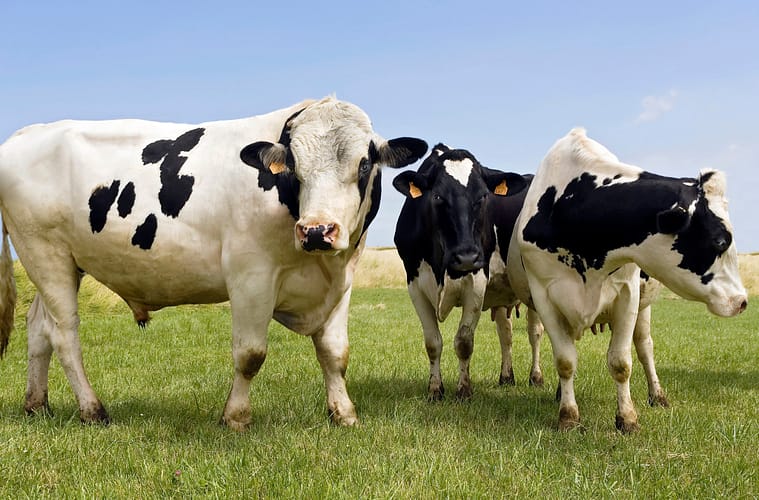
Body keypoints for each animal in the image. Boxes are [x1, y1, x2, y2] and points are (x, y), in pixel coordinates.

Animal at [0, 96, 428, 430]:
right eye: (294, 166)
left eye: (363, 164)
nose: (317, 230)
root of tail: (26, 134)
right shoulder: (250, 275)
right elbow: (250, 353)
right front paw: (236, 417)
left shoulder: (341, 279)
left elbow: (336, 352)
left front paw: (343, 413)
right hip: (45, 253)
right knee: (64, 333)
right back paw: (91, 409)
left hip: (62, 262)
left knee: (39, 327)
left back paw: (37, 404)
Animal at [392, 144, 529, 400]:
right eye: (437, 196)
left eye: (483, 196)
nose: (466, 257)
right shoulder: (414, 285)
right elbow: (432, 342)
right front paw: (435, 390)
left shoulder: (477, 283)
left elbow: (464, 341)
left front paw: (464, 389)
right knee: (506, 334)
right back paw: (506, 377)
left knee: (536, 331)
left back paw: (537, 378)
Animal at [507, 127, 747, 432]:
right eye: (720, 240)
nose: (742, 301)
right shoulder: (544, 296)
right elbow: (565, 361)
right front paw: (568, 416)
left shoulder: (627, 293)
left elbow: (621, 362)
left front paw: (627, 418)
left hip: (644, 308)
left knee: (645, 347)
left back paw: (657, 395)